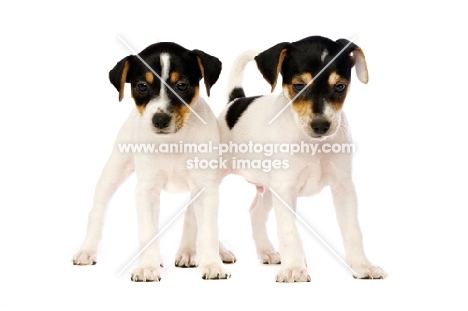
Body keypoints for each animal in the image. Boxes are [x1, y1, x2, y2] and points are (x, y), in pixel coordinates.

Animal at [72, 41, 236, 282]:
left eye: (181, 85)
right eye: (142, 86)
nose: (159, 120)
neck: (172, 142)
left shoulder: (206, 188)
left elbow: (207, 229)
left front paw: (212, 264)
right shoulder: (146, 190)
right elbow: (148, 231)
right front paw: (147, 266)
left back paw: (205, 251)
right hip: (114, 171)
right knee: (98, 210)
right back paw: (87, 250)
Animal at [219, 36, 388, 282]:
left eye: (340, 86)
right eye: (299, 86)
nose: (321, 125)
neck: (313, 145)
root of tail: (235, 102)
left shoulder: (343, 188)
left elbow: (353, 231)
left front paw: (362, 265)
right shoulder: (285, 190)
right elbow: (290, 232)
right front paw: (294, 269)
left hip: (269, 188)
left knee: (255, 212)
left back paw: (267, 251)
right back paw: (219, 253)